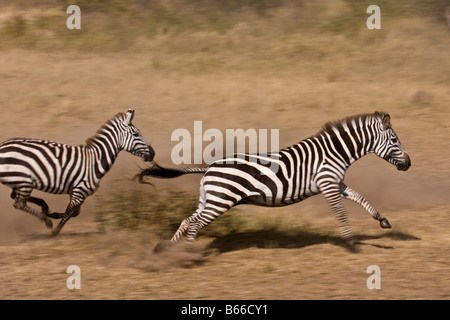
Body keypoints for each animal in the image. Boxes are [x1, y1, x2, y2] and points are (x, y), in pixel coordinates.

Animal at [0, 109, 155, 235]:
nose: (153, 153)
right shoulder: (79, 192)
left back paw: (44, 207)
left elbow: (75, 212)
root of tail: (2, 146)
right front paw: (55, 230)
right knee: (19, 203)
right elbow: (69, 214)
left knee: (15, 196)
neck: (96, 160)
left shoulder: (76, 192)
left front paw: (53, 214)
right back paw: (46, 220)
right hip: (23, 180)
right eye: (136, 134)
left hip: (20, 181)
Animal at [140, 111, 412, 251]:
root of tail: (209, 167)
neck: (335, 152)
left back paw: (168, 251)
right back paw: (188, 255)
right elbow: (341, 212)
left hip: (208, 199)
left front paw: (383, 221)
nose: (409, 163)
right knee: (195, 223)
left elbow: (360, 197)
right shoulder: (327, 184)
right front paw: (352, 243)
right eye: (395, 140)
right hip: (220, 201)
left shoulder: (335, 183)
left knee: (187, 220)